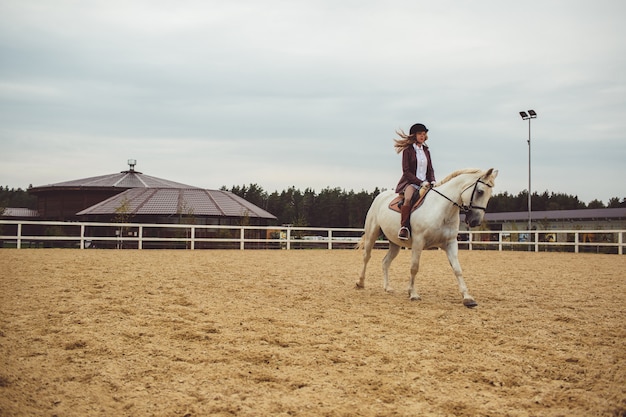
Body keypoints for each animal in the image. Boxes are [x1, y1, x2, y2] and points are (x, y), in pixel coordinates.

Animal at [356, 167, 498, 308]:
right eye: (480, 192)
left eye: (490, 195)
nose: (475, 221)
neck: (442, 209)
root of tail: (380, 196)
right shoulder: (418, 242)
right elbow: (414, 267)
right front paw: (413, 293)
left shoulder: (451, 243)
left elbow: (457, 269)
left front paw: (468, 298)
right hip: (372, 234)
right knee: (366, 257)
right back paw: (360, 283)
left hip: (395, 243)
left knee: (385, 262)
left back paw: (387, 287)